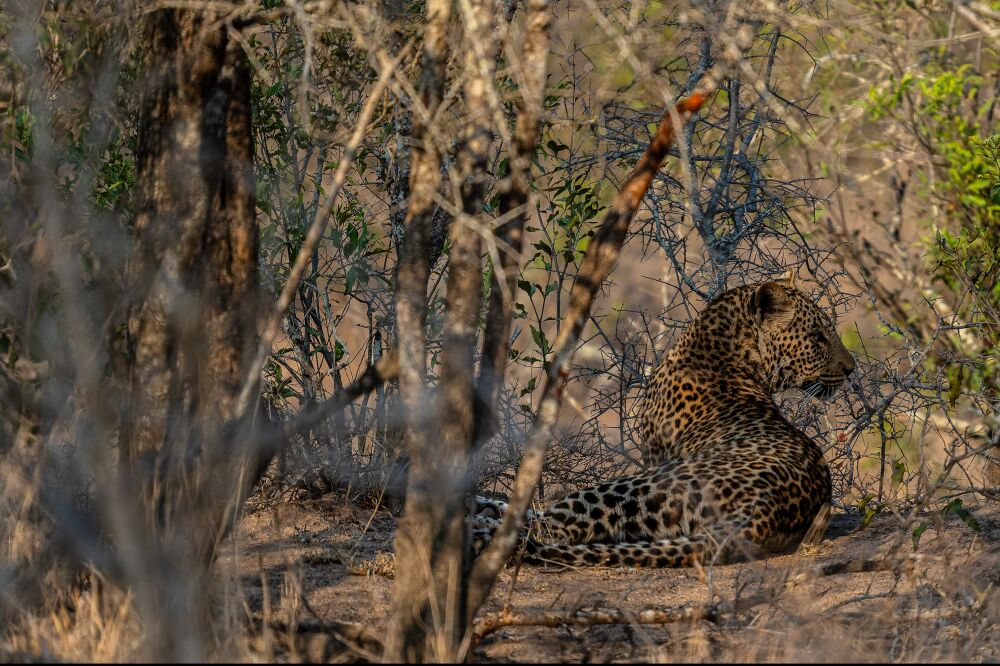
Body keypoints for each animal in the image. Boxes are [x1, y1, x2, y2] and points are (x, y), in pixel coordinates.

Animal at [476, 274, 860, 564]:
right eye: (817, 337)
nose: (851, 368)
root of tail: (761, 515)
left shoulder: (652, 456)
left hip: (642, 484)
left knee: (553, 527)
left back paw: (482, 521)